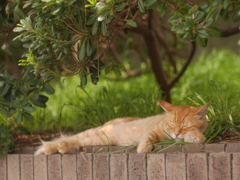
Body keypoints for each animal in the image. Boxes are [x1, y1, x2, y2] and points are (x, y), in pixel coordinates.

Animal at [34, 100, 209, 155]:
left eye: (184, 126)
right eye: (172, 124)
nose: (176, 133)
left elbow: (192, 136)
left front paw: (196, 137)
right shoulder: (152, 131)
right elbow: (148, 137)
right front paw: (143, 148)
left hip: (103, 139)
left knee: (76, 141)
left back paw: (58, 147)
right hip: (98, 133)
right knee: (72, 137)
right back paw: (51, 148)